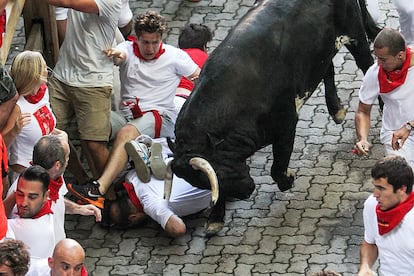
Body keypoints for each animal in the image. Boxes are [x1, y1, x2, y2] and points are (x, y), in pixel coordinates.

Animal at [167, 0, 378, 235]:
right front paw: (215, 219)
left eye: (220, 172)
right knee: (328, 68)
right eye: (201, 183)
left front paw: (288, 178)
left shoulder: (286, 124)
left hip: (354, 32)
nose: (247, 191)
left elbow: (277, 167)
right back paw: (337, 110)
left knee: (367, 64)